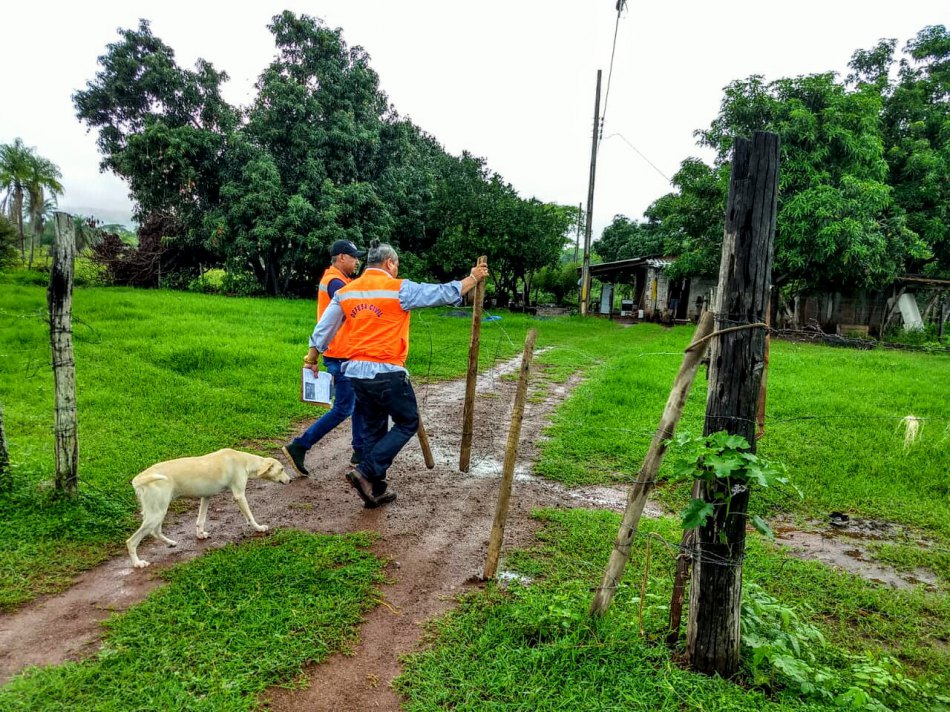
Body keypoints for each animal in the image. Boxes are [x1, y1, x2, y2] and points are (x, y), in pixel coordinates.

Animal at [126, 450, 292, 568]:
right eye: (282, 469)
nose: (290, 480)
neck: (243, 460)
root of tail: (139, 478)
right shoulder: (239, 495)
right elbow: (250, 517)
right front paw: (259, 528)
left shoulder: (206, 497)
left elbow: (201, 519)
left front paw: (200, 535)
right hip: (157, 513)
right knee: (131, 541)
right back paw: (137, 563)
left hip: (157, 512)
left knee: (155, 531)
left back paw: (170, 543)